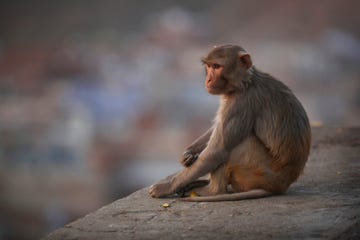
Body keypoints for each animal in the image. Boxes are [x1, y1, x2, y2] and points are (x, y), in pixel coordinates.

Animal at [148, 44, 310, 201]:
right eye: (209, 66)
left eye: (217, 66)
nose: (208, 80)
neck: (245, 83)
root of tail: (280, 186)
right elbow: (217, 127)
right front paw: (189, 153)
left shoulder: (241, 103)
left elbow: (217, 151)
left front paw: (166, 187)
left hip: (258, 173)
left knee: (239, 145)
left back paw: (212, 191)